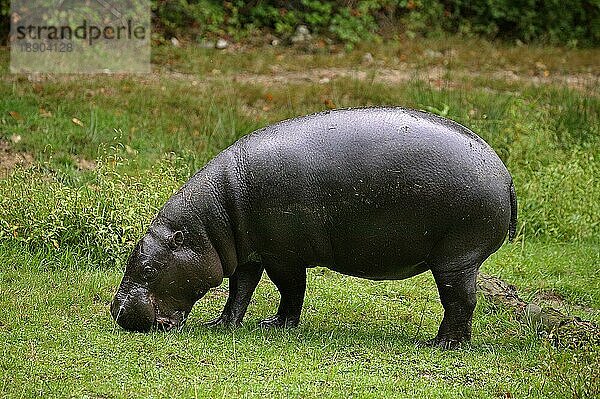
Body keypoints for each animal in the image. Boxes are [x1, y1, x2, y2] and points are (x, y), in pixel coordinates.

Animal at [111, 108, 516, 348]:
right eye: (133, 257)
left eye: (148, 269)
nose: (116, 309)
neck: (209, 225)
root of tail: (505, 173)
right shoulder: (248, 254)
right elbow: (239, 290)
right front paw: (220, 325)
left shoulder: (283, 256)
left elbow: (290, 291)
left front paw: (275, 326)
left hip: (456, 258)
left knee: (460, 302)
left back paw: (440, 345)